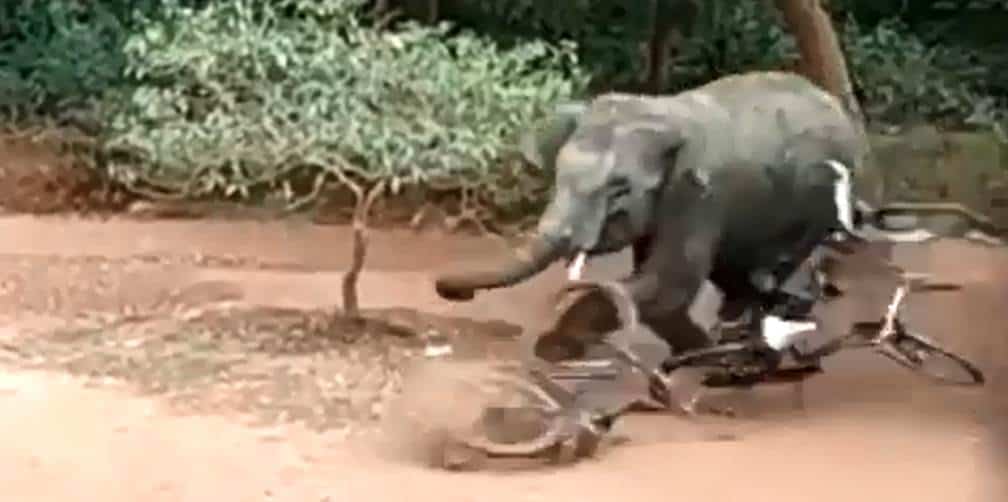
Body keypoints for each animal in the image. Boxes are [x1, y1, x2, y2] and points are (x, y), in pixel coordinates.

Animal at [434, 71, 870, 356]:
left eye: (618, 190)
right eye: (557, 177)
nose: (450, 291)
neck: (659, 110)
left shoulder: (698, 192)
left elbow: (667, 283)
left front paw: (553, 349)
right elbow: (661, 288)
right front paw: (694, 353)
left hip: (818, 203)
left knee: (769, 266)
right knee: (733, 270)